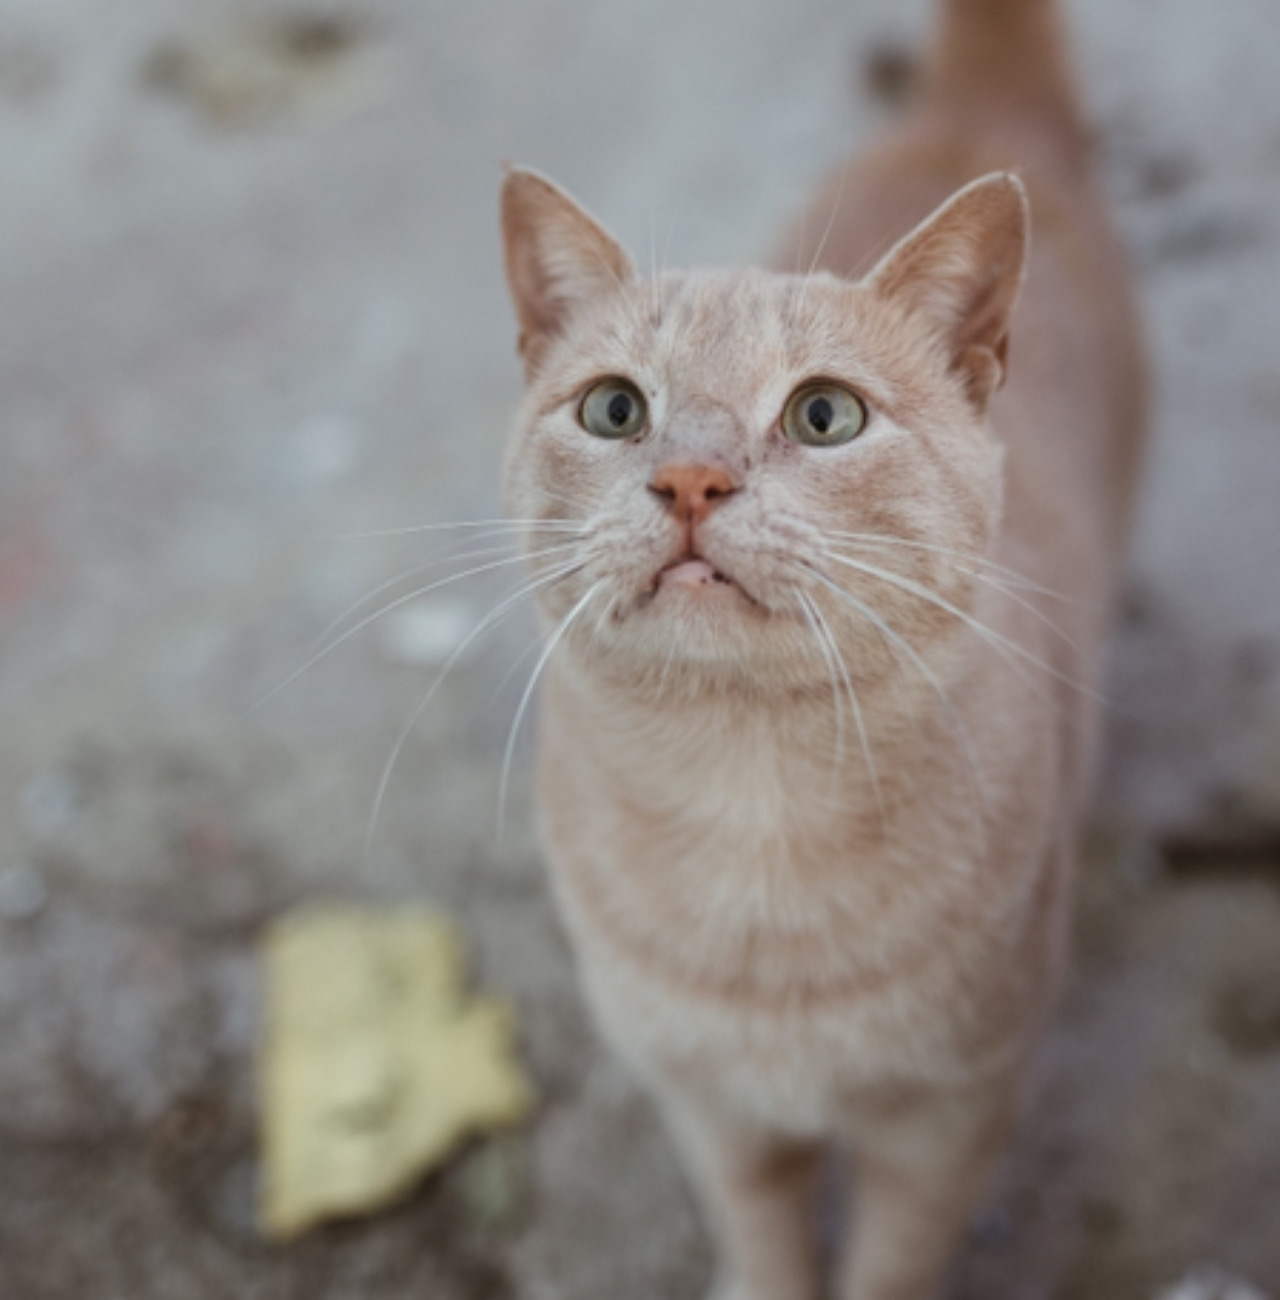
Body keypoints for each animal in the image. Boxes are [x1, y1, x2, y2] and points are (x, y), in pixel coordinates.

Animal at [493, 2, 1143, 1300]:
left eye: (823, 414)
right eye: (614, 409)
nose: (690, 479)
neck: (754, 804)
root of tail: (965, 115)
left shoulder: (947, 1124)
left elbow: (887, 1263)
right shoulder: (712, 1113)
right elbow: (761, 1233)